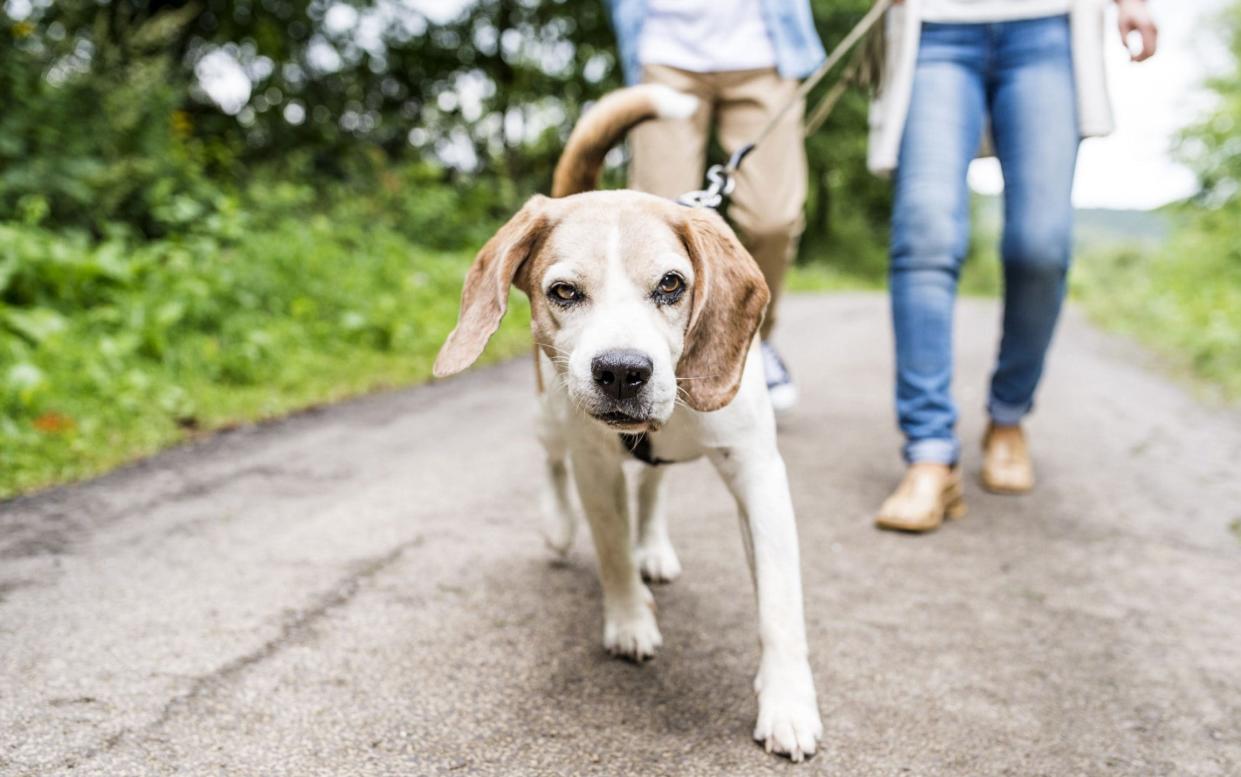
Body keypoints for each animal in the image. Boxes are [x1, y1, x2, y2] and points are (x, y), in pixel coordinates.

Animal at [436, 84, 824, 754]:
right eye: (564, 292)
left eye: (671, 284)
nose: (621, 371)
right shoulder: (595, 465)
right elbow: (611, 547)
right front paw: (629, 620)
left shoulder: (759, 472)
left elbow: (779, 604)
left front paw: (788, 704)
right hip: (549, 414)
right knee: (553, 462)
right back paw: (561, 525)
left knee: (654, 487)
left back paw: (654, 546)